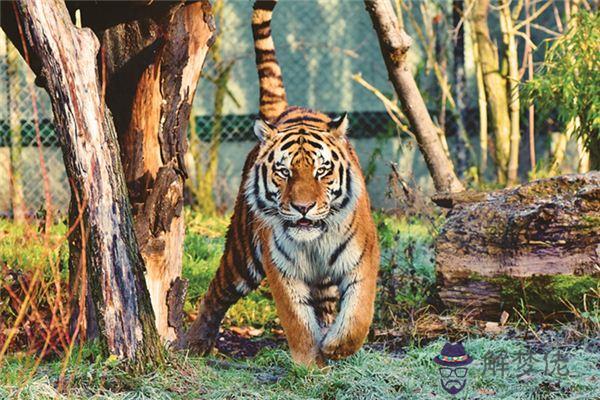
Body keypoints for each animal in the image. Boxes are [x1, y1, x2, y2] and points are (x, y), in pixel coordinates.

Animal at [183, 0, 380, 366]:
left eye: (321, 171)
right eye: (284, 172)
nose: (303, 208)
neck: (315, 242)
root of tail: (285, 111)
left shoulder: (363, 259)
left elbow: (358, 315)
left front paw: (335, 347)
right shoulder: (281, 269)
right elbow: (297, 321)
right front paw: (309, 362)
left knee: (327, 306)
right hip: (241, 255)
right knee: (216, 293)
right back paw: (194, 344)